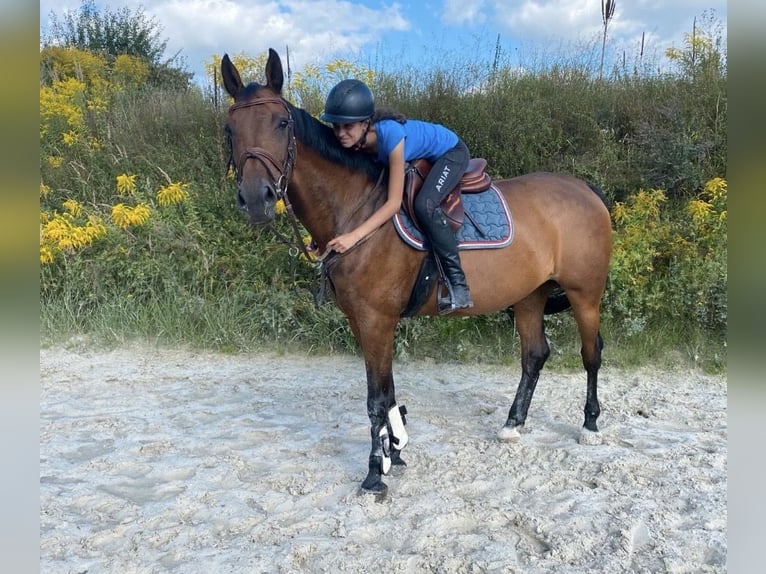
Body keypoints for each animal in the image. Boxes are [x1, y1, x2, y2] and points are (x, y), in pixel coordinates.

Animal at [221, 49, 612, 495]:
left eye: (282, 123)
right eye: (231, 128)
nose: (256, 198)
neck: (359, 212)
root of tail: (583, 189)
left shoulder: (377, 319)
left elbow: (375, 399)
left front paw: (376, 472)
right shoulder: (362, 320)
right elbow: (388, 390)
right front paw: (396, 450)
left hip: (585, 294)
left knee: (591, 353)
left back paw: (590, 425)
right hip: (530, 295)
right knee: (534, 355)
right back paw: (513, 424)